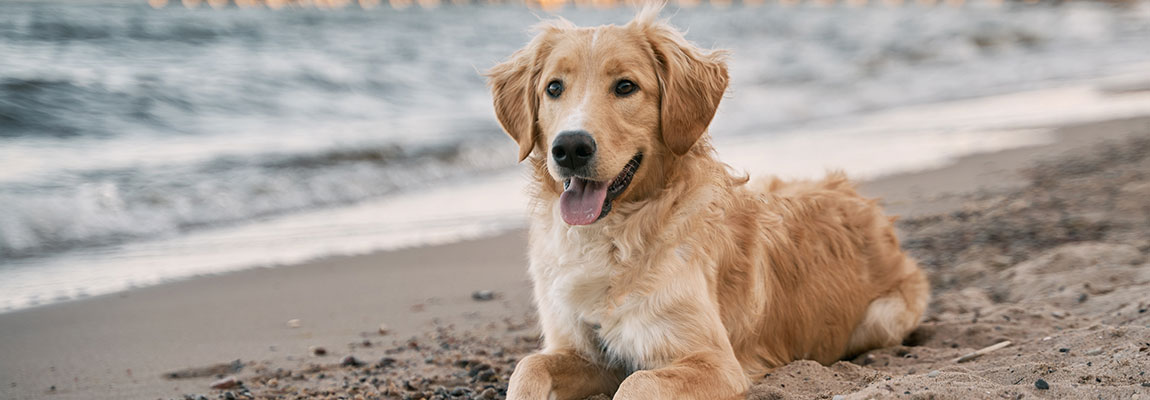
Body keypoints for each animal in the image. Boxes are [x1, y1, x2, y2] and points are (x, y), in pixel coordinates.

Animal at [480, 7, 929, 400]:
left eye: (625, 86)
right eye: (554, 88)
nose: (570, 147)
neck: (611, 236)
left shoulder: (714, 361)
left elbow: (637, 384)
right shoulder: (586, 351)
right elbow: (529, 367)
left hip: (882, 318)